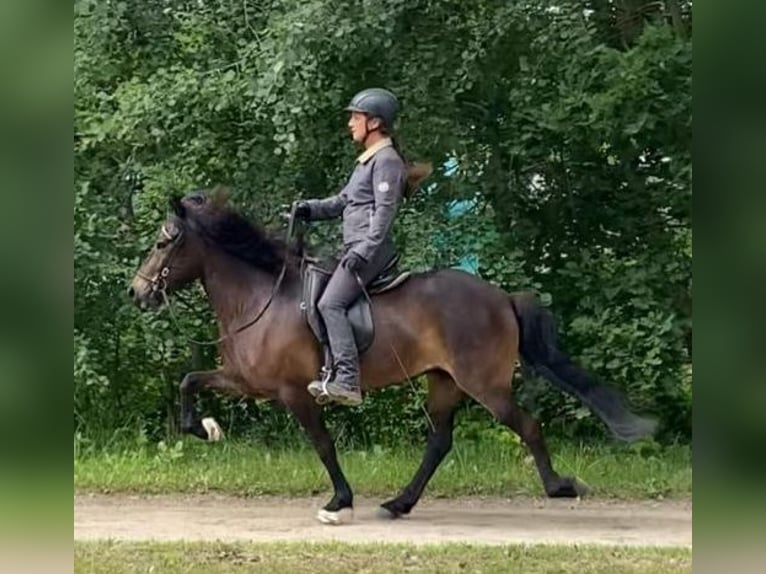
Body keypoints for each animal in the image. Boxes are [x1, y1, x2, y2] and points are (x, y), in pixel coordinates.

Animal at [128, 189, 656, 524]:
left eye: (163, 240)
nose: (137, 292)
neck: (262, 296)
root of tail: (502, 297)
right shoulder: (247, 380)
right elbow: (190, 381)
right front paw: (204, 428)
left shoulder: (292, 392)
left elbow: (322, 444)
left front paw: (339, 501)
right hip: (444, 381)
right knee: (440, 442)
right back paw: (399, 503)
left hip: (484, 385)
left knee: (525, 425)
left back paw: (559, 486)